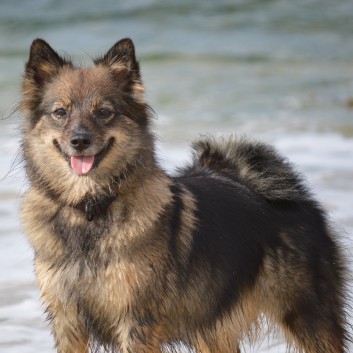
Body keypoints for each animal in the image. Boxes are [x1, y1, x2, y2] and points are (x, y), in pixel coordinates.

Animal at [20, 37, 348, 352]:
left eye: (104, 113)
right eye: (60, 113)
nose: (79, 141)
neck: (89, 209)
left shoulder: (137, 321)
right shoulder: (68, 322)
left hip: (308, 318)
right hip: (213, 330)